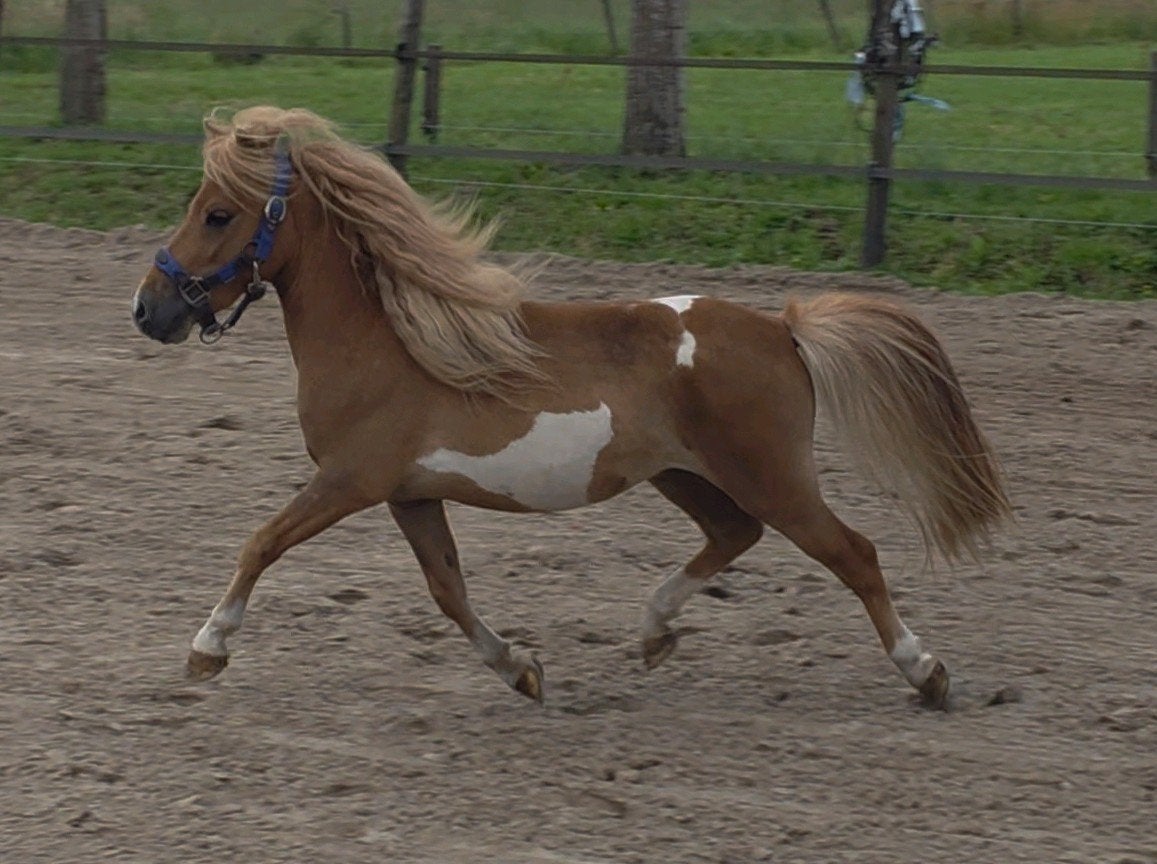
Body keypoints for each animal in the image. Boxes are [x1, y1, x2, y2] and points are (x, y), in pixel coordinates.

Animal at [131, 106, 1009, 710]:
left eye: (217, 214)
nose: (148, 310)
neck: (385, 343)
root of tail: (783, 328)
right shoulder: (410, 494)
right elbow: (447, 591)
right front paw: (522, 669)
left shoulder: (352, 480)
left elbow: (261, 542)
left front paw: (207, 650)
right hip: (684, 474)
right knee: (734, 535)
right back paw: (652, 633)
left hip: (771, 476)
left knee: (852, 552)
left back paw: (927, 673)